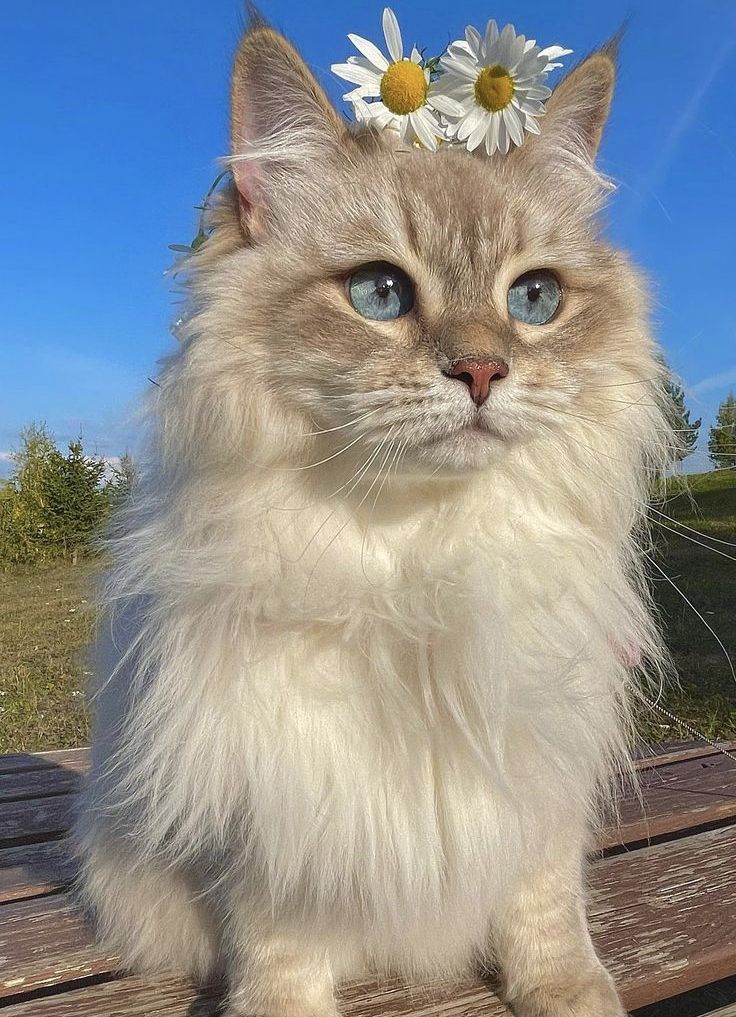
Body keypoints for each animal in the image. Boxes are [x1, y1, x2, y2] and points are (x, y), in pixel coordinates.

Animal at [74, 13, 670, 1016]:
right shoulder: (273, 796)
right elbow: (279, 952)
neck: (428, 557)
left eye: (535, 299)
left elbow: (547, 914)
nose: (482, 371)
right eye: (380, 294)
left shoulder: (536, 767)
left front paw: (570, 994)